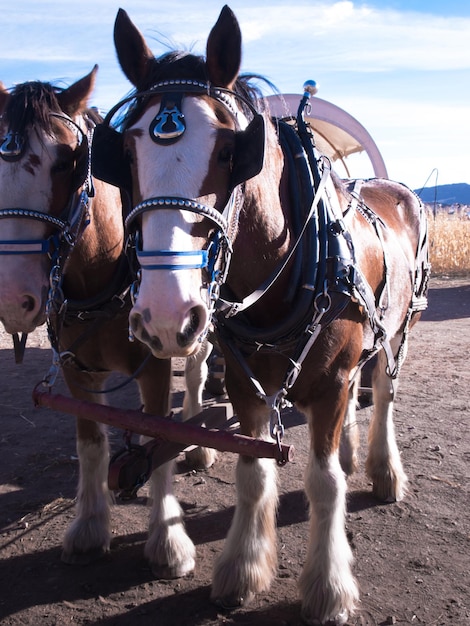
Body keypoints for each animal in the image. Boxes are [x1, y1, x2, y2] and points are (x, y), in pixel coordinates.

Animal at [0, 69, 211, 576]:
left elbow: (160, 436)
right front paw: (90, 527)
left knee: (197, 371)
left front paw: (168, 543)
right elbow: (91, 440)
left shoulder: (156, 363)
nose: (13, 299)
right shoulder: (76, 367)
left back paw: (200, 444)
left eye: (66, 163)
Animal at [93, 6, 432, 624]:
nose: (165, 315)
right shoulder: (247, 384)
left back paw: (381, 468)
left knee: (382, 393)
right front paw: (241, 571)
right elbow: (252, 473)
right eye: (124, 155)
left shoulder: (332, 383)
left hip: (399, 331)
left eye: (230, 153)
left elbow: (323, 483)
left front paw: (327, 589)